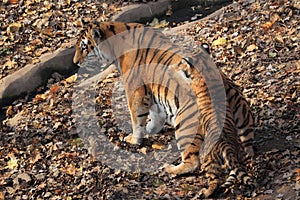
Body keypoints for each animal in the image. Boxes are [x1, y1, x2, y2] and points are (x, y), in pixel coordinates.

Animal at [72, 21, 253, 196]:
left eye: (83, 47)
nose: (75, 62)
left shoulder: (135, 91)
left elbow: (136, 117)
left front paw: (134, 139)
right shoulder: (153, 93)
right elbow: (154, 114)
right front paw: (151, 129)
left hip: (185, 126)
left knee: (193, 162)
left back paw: (170, 169)